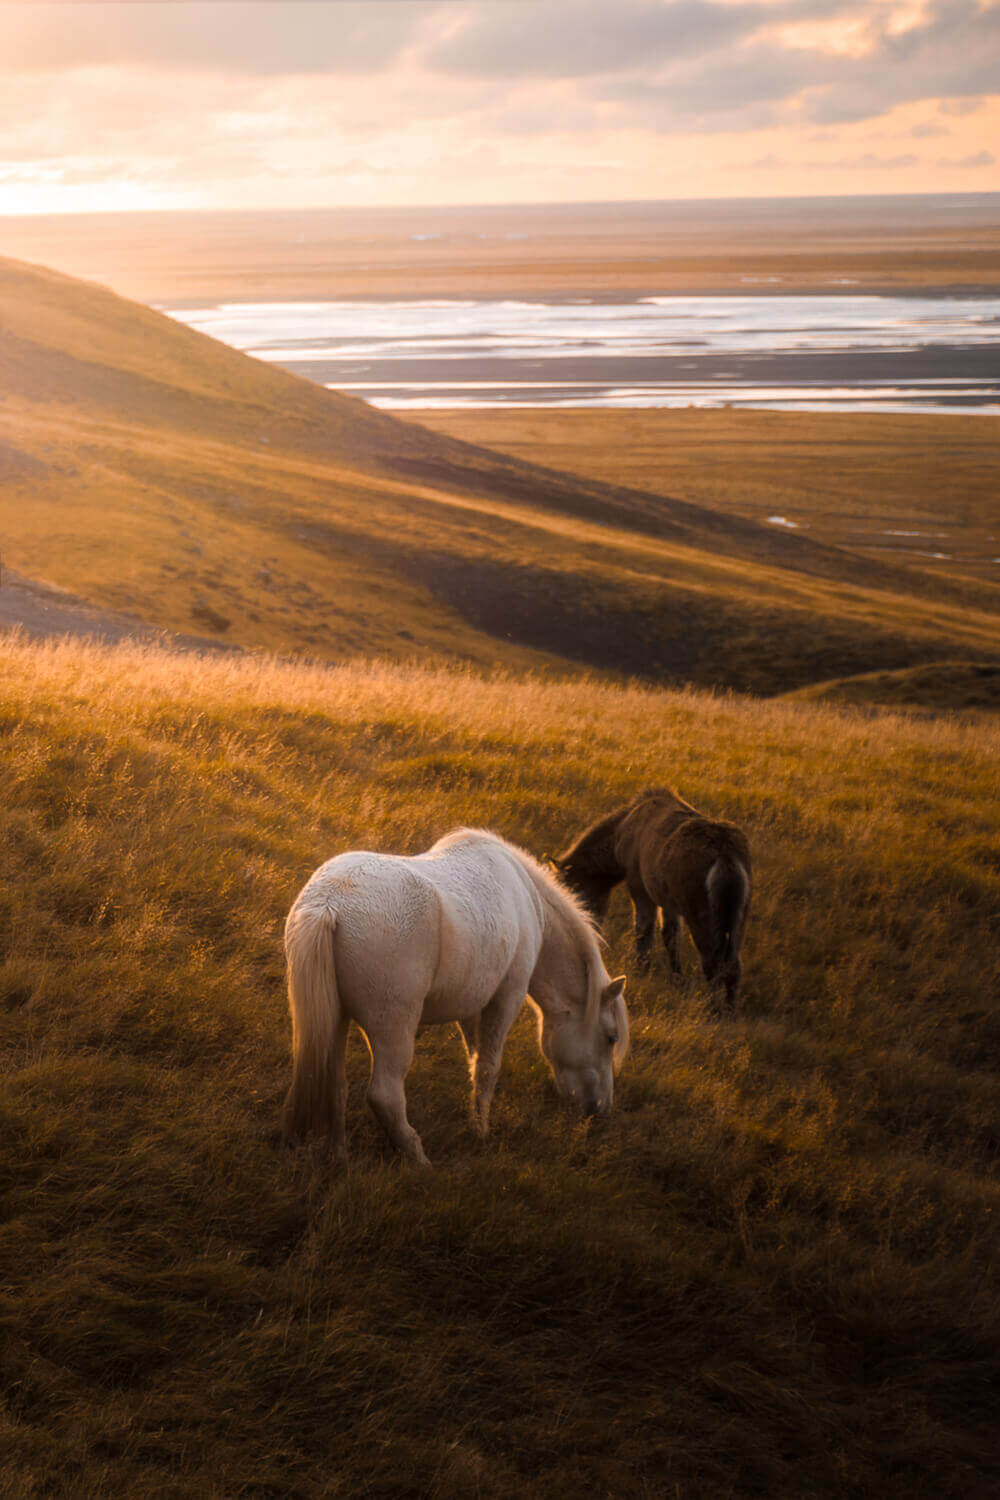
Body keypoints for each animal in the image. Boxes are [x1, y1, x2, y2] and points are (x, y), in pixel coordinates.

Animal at [281, 828, 626, 1164]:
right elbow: (488, 1066)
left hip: (336, 1019)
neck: (525, 894)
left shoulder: (471, 1004)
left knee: (334, 1085)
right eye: (611, 1038)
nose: (600, 1110)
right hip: (393, 1029)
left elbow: (475, 1061)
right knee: (384, 1095)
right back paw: (419, 1159)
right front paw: (480, 1132)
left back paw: (338, 1155)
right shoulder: (506, 997)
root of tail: (328, 903)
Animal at [554, 786, 749, 1008]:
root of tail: (726, 856)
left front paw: (641, 968)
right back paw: (730, 1009)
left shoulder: (639, 886)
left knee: (713, 964)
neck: (622, 832)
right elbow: (670, 936)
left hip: (701, 917)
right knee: (733, 966)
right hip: (738, 919)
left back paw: (712, 1008)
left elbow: (643, 929)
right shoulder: (668, 902)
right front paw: (677, 978)